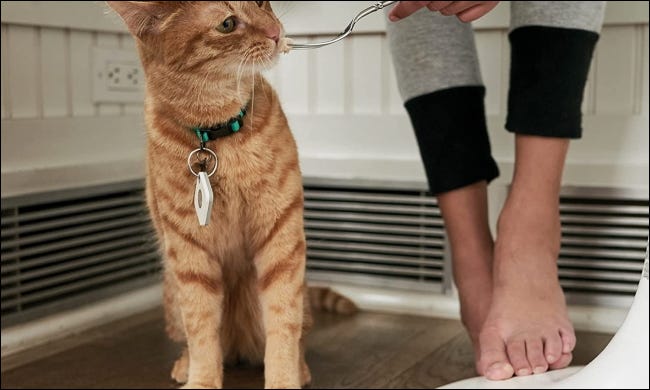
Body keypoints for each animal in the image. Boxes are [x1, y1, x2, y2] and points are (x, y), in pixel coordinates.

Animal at [106, 1, 350, 388]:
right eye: (227, 24)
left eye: (262, 3)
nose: (275, 33)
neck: (215, 132)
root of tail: (238, 347)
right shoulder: (189, 253)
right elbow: (201, 330)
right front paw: (202, 379)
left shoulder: (280, 236)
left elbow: (284, 323)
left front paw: (284, 379)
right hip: (172, 294)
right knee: (194, 339)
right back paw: (185, 365)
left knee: (298, 335)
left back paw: (300, 368)